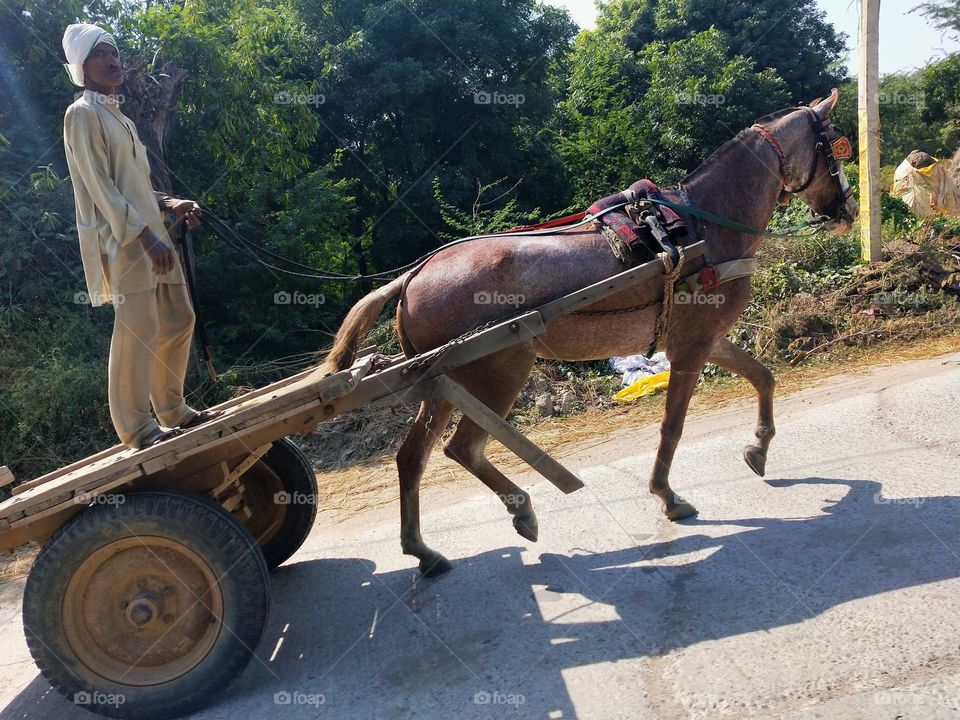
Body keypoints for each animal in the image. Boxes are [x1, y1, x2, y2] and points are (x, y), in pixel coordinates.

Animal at [320, 87, 856, 576]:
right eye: (836, 145)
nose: (849, 211)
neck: (705, 225)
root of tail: (413, 276)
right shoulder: (692, 347)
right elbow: (673, 424)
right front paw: (667, 495)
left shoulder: (702, 339)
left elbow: (763, 376)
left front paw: (758, 448)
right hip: (498, 372)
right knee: (462, 448)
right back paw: (521, 511)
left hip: (443, 385)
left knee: (413, 458)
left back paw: (425, 551)